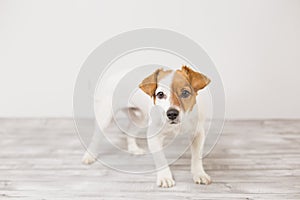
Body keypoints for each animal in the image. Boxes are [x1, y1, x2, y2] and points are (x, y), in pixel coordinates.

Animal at [82, 65, 211, 188]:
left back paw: (133, 149)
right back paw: (89, 156)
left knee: (130, 132)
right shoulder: (154, 137)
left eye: (185, 93)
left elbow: (197, 157)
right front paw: (165, 177)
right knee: (96, 137)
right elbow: (160, 159)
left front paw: (199, 174)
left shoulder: (198, 134)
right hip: (105, 117)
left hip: (141, 119)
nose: (172, 114)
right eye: (160, 94)